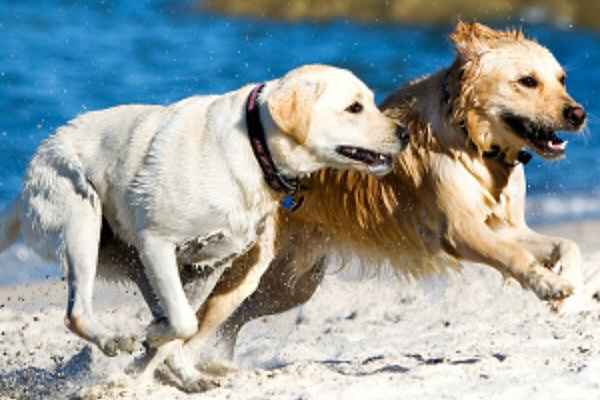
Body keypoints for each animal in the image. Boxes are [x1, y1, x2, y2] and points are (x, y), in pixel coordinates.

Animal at [0, 65, 404, 376]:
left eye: (370, 102)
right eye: (354, 107)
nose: (404, 132)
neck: (255, 146)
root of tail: (25, 180)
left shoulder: (210, 263)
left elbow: (185, 323)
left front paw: (159, 342)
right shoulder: (157, 243)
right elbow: (184, 321)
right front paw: (155, 335)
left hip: (135, 262)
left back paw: (178, 372)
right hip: (82, 218)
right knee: (77, 313)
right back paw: (118, 341)